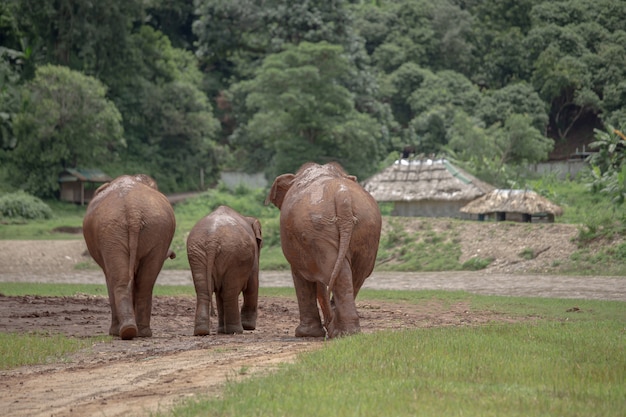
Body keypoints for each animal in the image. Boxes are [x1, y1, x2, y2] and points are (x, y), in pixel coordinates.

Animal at [81, 174, 176, 340]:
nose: (173, 255)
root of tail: (134, 211)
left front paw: (114, 332)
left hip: (112, 232)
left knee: (120, 280)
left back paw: (124, 331)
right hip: (155, 229)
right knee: (145, 282)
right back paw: (138, 332)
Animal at [186, 204, 262, 334]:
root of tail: (212, 240)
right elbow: (252, 285)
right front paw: (249, 327)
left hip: (197, 253)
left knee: (204, 291)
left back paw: (203, 332)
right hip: (235, 257)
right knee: (229, 292)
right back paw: (236, 330)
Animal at [264, 161, 380, 336]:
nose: (327, 323)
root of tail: (342, 196)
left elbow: (301, 276)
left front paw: (305, 334)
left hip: (318, 230)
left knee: (335, 271)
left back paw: (339, 332)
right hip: (365, 228)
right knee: (356, 274)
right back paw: (346, 332)